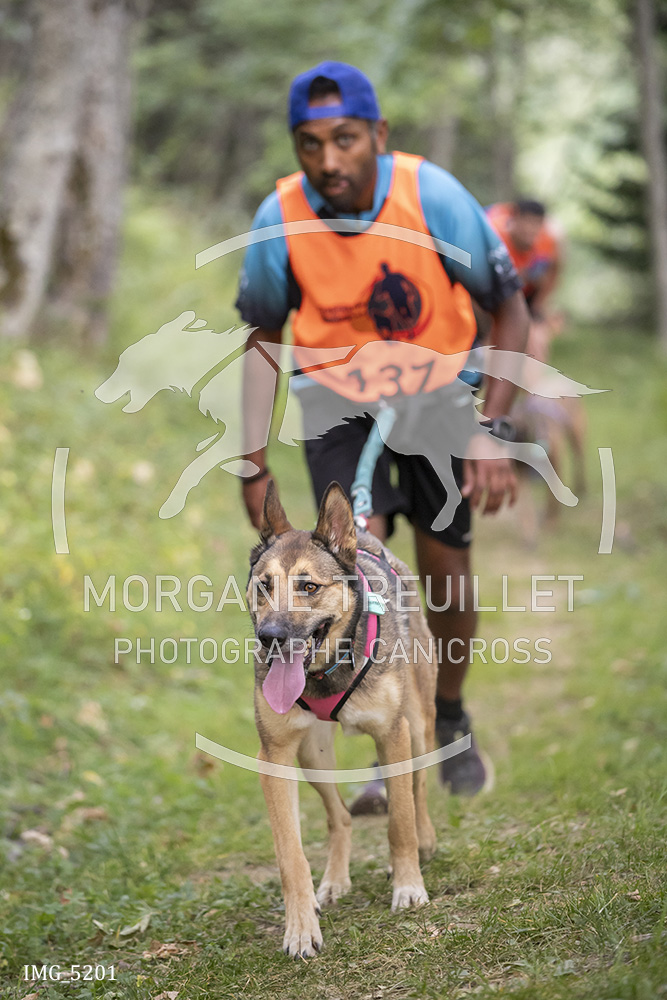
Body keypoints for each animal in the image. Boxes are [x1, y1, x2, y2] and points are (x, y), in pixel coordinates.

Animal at [246, 480, 437, 958]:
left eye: (309, 586)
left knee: (419, 787)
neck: (326, 671)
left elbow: (399, 820)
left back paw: (426, 841)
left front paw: (408, 887)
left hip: (418, 726)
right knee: (340, 816)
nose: (269, 637)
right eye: (263, 586)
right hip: (313, 755)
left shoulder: (392, 734)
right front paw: (300, 927)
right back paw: (333, 882)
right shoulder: (274, 756)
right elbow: (290, 854)